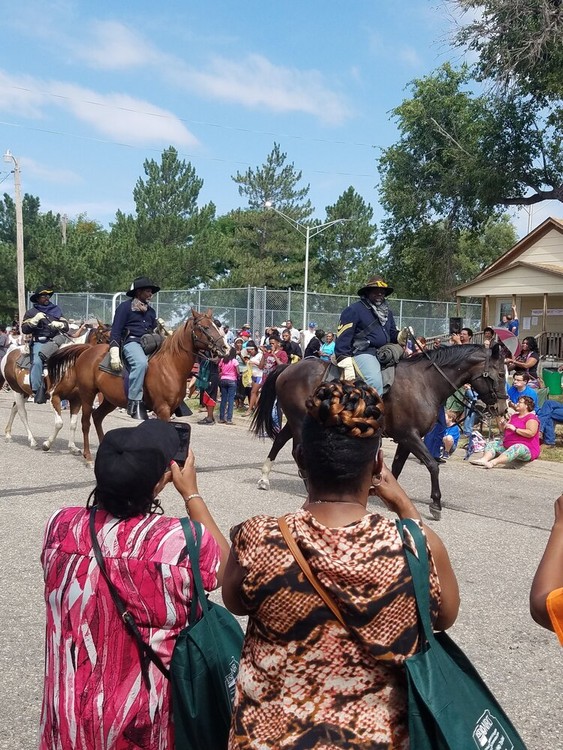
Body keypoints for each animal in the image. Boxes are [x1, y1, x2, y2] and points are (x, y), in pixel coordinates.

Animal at [3, 324, 112, 452]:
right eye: (107, 339)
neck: (70, 366)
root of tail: (11, 352)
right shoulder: (54, 397)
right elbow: (59, 423)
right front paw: (47, 444)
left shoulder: (76, 400)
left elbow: (73, 424)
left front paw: (73, 447)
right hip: (17, 391)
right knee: (22, 414)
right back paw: (32, 441)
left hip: (25, 392)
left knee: (15, 409)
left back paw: (8, 434)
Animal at [50, 306, 227, 464]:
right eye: (205, 327)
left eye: (216, 326)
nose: (225, 348)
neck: (170, 365)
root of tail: (87, 350)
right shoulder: (163, 409)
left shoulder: (168, 410)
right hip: (87, 395)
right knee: (85, 422)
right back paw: (88, 457)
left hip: (110, 400)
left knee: (97, 417)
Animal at [253, 344, 504, 520]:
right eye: (500, 374)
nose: (501, 408)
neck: (424, 383)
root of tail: (289, 368)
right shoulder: (409, 436)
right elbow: (432, 465)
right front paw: (435, 504)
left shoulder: (406, 439)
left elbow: (396, 468)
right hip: (297, 420)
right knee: (296, 450)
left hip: (298, 420)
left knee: (280, 442)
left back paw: (265, 477)